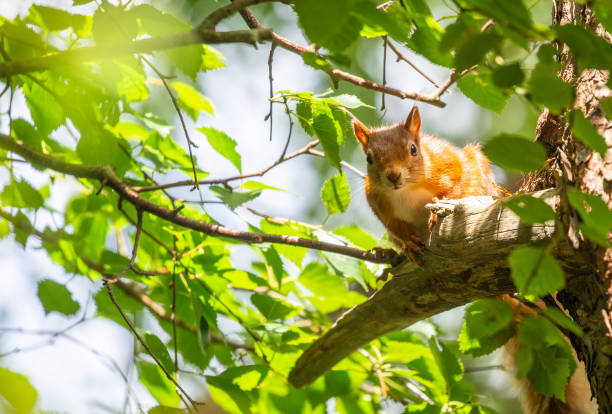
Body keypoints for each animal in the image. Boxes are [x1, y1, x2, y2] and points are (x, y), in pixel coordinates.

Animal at [352, 106, 596, 414]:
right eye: (369, 158)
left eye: (413, 149)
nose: (393, 176)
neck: (405, 191)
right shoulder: (379, 203)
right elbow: (396, 227)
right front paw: (407, 243)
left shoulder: (449, 162)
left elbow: (456, 184)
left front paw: (439, 207)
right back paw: (390, 256)